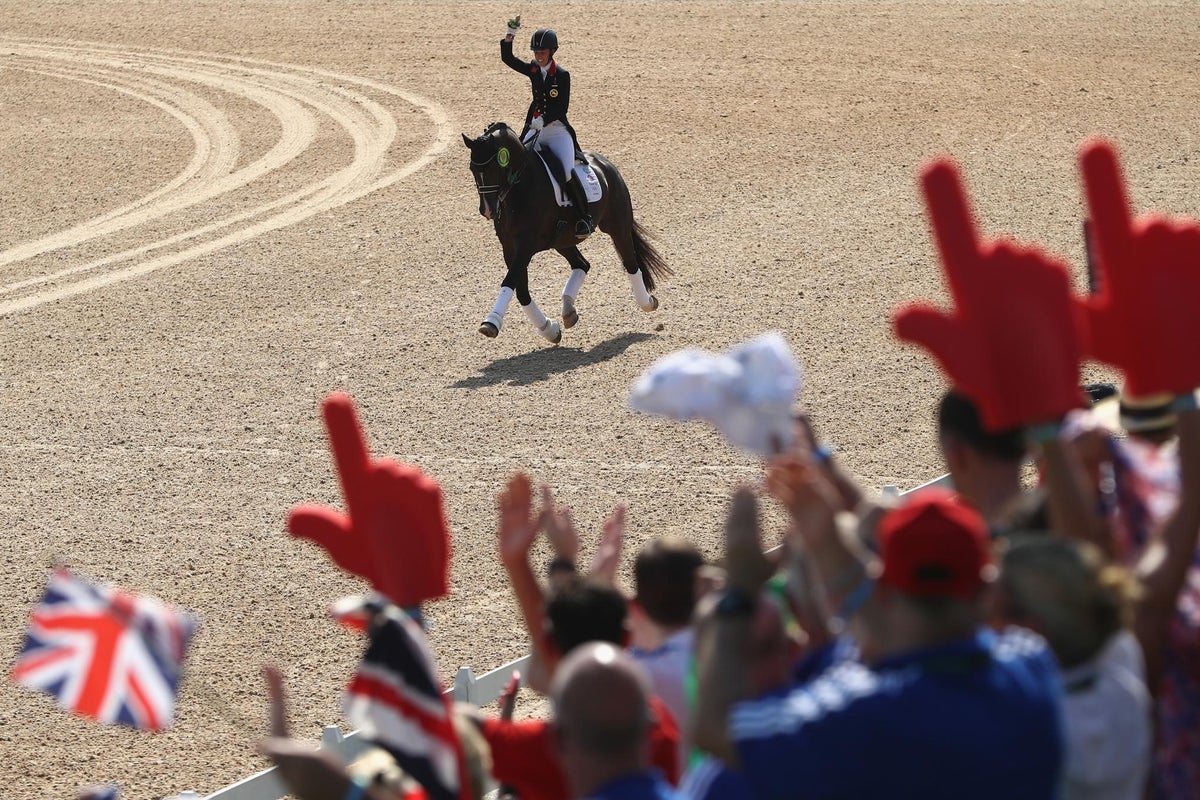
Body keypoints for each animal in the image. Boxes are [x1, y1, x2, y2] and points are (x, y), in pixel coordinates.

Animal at [460, 122, 672, 345]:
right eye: (472, 168)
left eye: (493, 168)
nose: (487, 210)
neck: (520, 189)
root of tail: (605, 164)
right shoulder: (509, 248)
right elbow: (521, 290)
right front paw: (549, 329)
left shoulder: (525, 246)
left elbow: (509, 282)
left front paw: (490, 323)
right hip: (562, 241)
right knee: (582, 264)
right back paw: (568, 310)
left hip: (617, 226)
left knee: (630, 263)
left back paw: (647, 302)